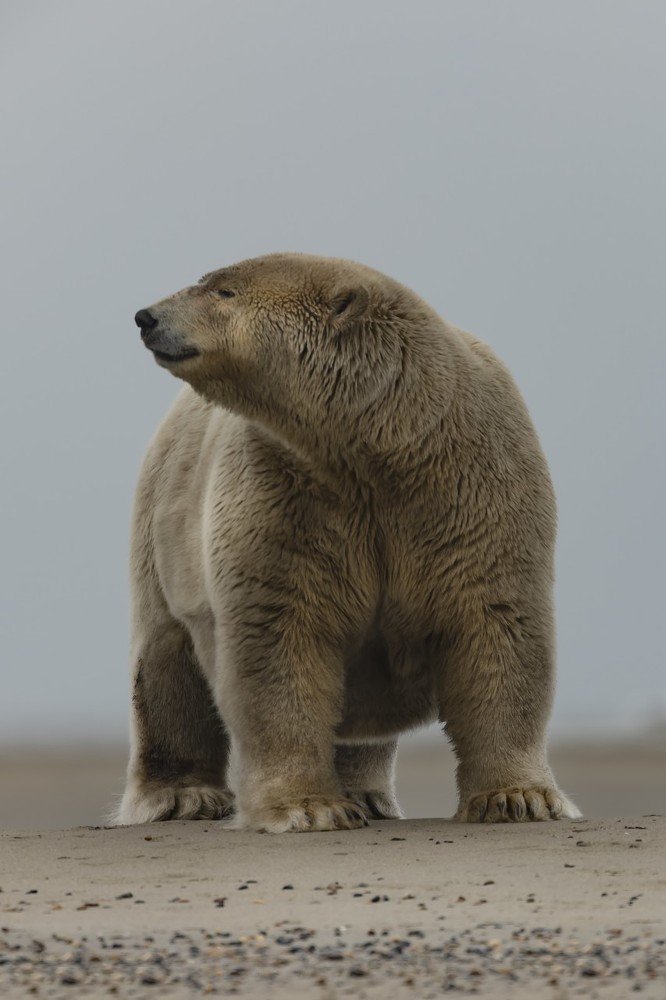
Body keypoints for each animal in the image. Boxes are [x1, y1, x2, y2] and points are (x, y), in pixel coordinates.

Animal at [116, 254, 580, 832]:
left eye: (224, 290)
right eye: (211, 282)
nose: (146, 316)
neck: (382, 445)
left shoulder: (473, 483)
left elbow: (496, 623)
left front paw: (518, 797)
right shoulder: (285, 495)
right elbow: (279, 637)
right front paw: (308, 807)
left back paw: (368, 794)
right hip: (164, 526)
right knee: (166, 667)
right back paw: (182, 797)